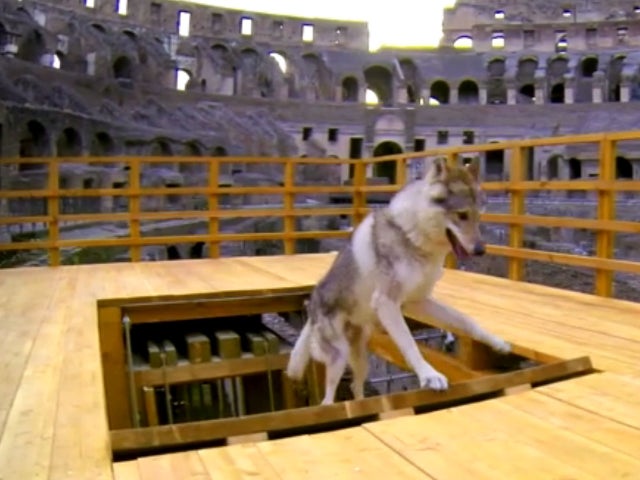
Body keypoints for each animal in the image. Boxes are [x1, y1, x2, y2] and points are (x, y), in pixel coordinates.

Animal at [286, 157, 511, 405]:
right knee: (328, 400)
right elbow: (410, 344)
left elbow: (466, 321)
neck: (414, 238)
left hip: (360, 360)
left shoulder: (419, 301)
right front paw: (430, 376)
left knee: (356, 387)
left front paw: (496, 342)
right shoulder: (387, 303)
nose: (481, 250)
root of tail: (311, 306)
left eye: (479, 216)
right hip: (338, 357)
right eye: (461, 215)